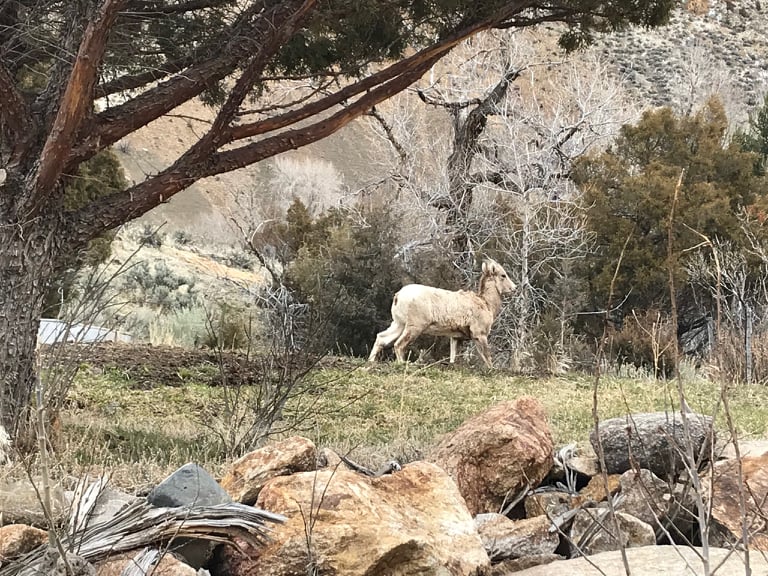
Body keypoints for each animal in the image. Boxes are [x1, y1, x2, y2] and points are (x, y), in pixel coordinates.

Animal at [368, 258, 516, 367]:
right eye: (503, 275)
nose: (514, 288)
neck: (486, 304)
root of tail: (398, 296)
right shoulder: (480, 335)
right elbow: (487, 358)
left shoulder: (456, 338)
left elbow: (453, 358)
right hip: (414, 327)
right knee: (399, 345)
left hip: (399, 324)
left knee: (381, 338)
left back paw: (370, 362)